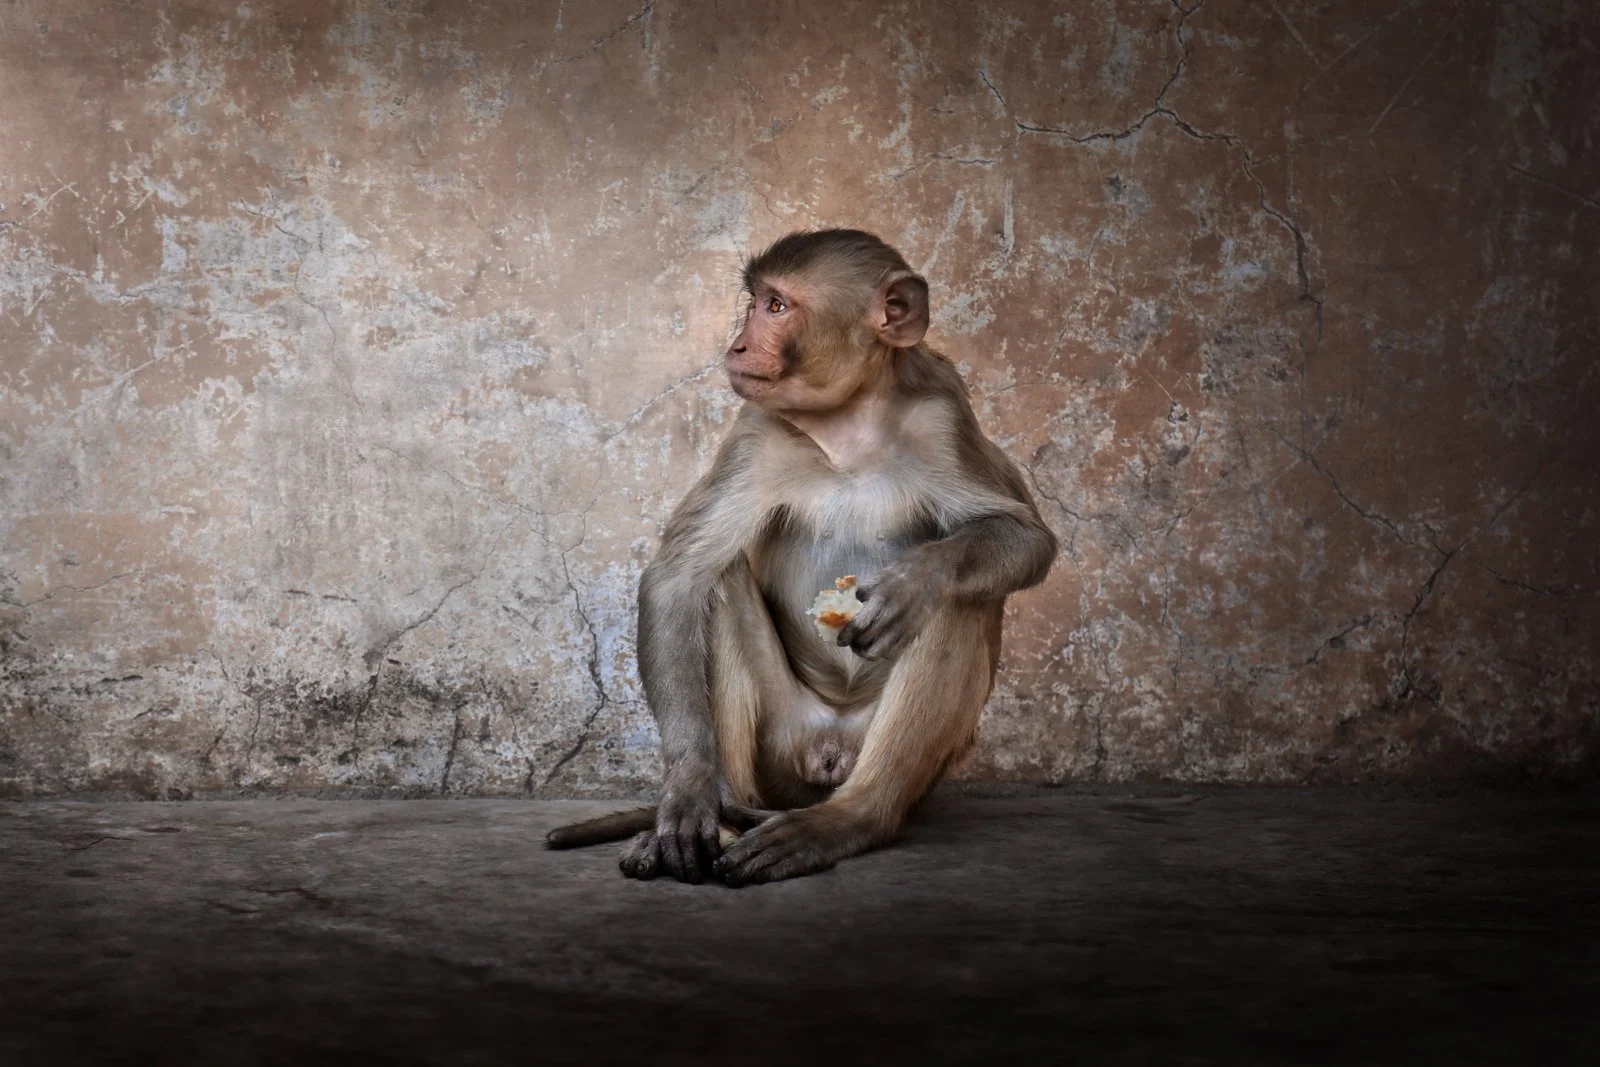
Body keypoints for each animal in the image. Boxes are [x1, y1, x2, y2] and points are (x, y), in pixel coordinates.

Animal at [546, 229, 1057, 885]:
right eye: (757, 301)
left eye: (777, 306)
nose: (737, 344)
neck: (848, 427)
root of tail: (829, 749)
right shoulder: (756, 433)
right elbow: (676, 580)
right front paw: (687, 791)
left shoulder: (943, 419)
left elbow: (1025, 538)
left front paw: (916, 581)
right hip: (782, 744)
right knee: (718, 582)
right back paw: (721, 816)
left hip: (911, 764)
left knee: (961, 601)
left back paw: (852, 818)